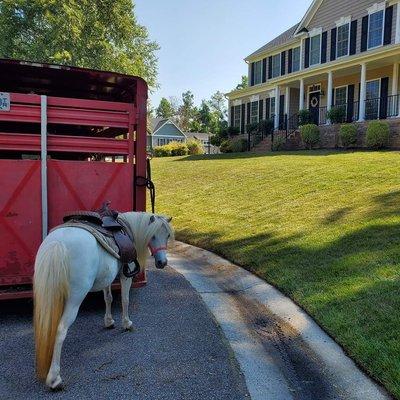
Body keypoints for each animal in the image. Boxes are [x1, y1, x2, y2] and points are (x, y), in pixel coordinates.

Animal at [33, 212, 173, 390]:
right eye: (152, 235)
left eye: (167, 235)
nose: (162, 263)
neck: (126, 229)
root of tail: (59, 243)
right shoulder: (125, 275)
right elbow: (125, 300)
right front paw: (126, 323)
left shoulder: (107, 277)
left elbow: (108, 298)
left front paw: (109, 321)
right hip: (74, 299)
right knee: (61, 329)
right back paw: (54, 378)